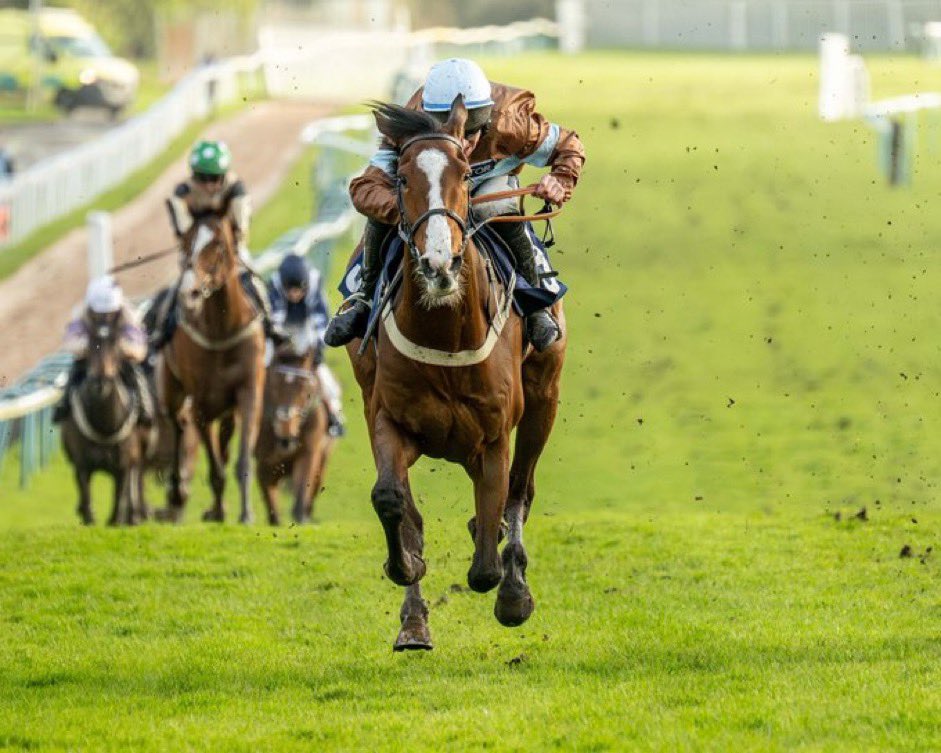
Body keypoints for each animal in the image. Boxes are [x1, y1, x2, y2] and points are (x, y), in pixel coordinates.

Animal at [61, 310, 153, 524]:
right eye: (91, 342)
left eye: (116, 344)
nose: (100, 382)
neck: (105, 426)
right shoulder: (81, 464)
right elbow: (87, 499)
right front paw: (87, 514)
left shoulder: (123, 465)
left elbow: (118, 502)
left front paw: (124, 517)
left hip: (142, 450)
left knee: (138, 477)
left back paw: (138, 513)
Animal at [155, 206, 264, 524]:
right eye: (186, 244)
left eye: (218, 245)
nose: (190, 292)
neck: (221, 330)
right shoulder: (201, 404)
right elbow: (214, 468)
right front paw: (217, 509)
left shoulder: (249, 391)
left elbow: (240, 458)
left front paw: (245, 513)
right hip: (172, 390)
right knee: (178, 424)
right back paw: (178, 490)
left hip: (226, 408)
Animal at [253, 328, 334, 524]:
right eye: (273, 384)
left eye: (305, 389)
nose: (287, 437)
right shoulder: (264, 463)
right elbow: (273, 511)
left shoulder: (309, 453)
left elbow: (300, 502)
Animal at [346, 98, 564, 652]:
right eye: (402, 177)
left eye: (465, 174)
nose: (439, 264)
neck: (445, 331)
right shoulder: (388, 419)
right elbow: (392, 501)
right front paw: (406, 572)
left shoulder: (494, 436)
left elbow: (488, 555)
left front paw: (510, 591)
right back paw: (414, 620)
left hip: (543, 400)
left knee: (519, 493)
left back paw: (514, 585)